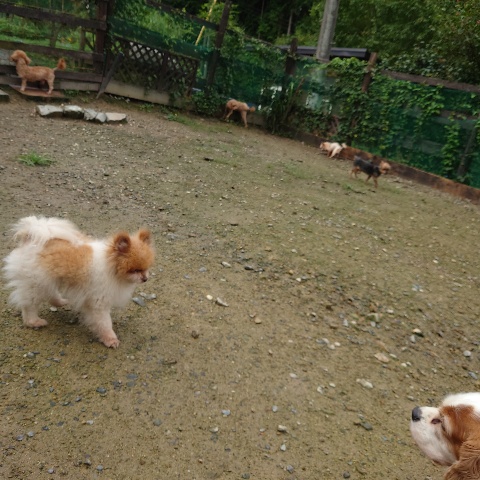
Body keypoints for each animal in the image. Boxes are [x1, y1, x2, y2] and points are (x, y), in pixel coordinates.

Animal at [3, 216, 154, 348]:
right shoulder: (99, 303)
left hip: (49, 278)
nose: (145, 278)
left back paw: (60, 302)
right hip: (36, 283)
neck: (110, 267)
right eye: (134, 270)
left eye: (146, 268)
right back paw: (33, 322)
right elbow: (105, 323)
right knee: (29, 305)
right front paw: (110, 339)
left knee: (51, 293)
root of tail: (30, 237)